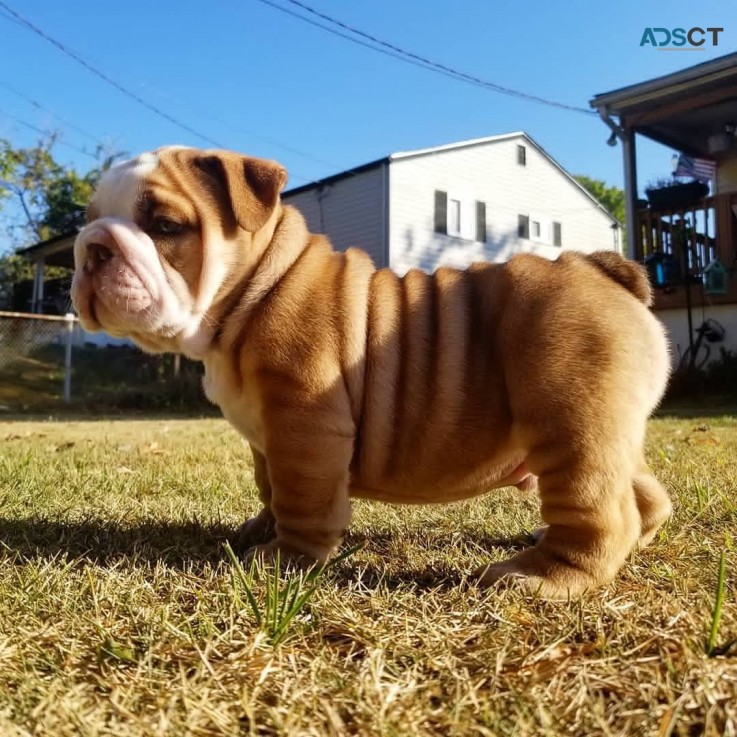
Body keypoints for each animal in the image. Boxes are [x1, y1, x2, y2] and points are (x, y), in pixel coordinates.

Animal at [73, 148, 672, 600]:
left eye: (165, 226)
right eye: (88, 218)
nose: (91, 247)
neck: (254, 292)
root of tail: (599, 269)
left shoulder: (305, 428)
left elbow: (302, 497)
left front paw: (284, 557)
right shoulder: (268, 440)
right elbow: (271, 486)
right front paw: (258, 529)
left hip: (571, 418)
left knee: (598, 511)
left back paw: (540, 575)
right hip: (607, 430)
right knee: (643, 495)